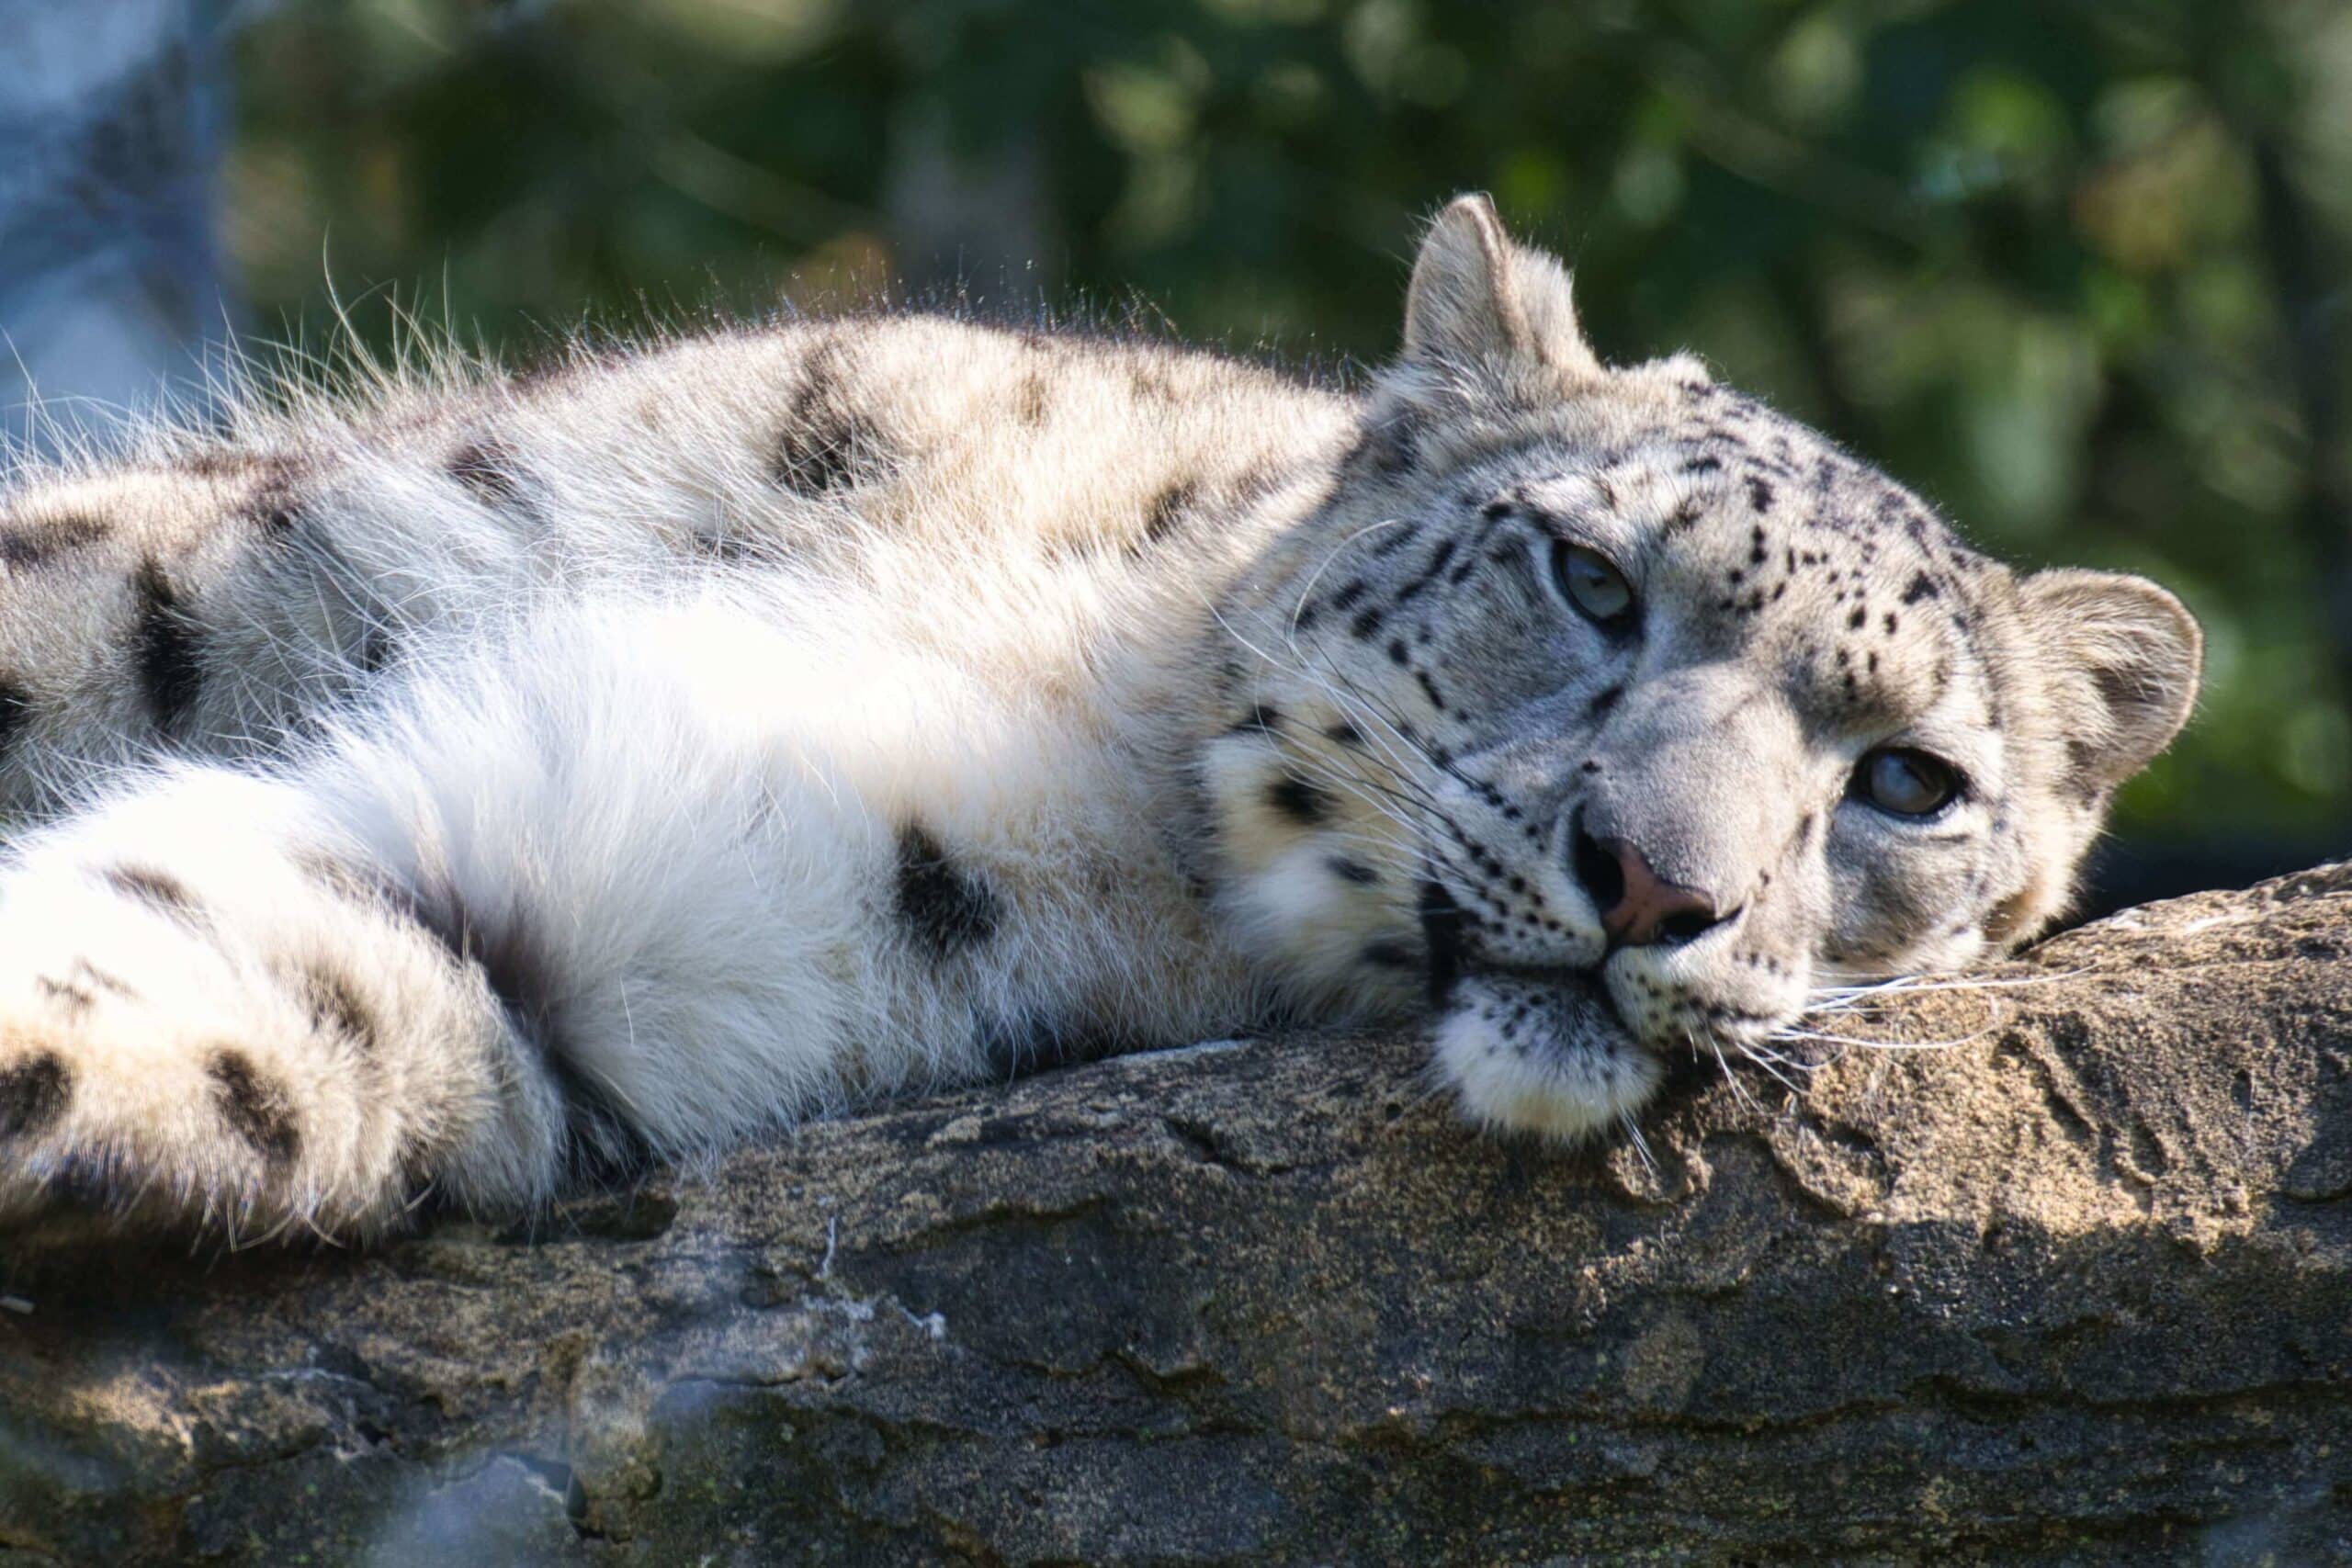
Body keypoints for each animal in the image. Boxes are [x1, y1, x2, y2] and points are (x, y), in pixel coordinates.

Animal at [0, 195, 2198, 1246]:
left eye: (1906, 780)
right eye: (1589, 576)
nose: (1658, 883)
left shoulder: (607, 933)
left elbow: (237, 979)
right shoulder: (306, 551)